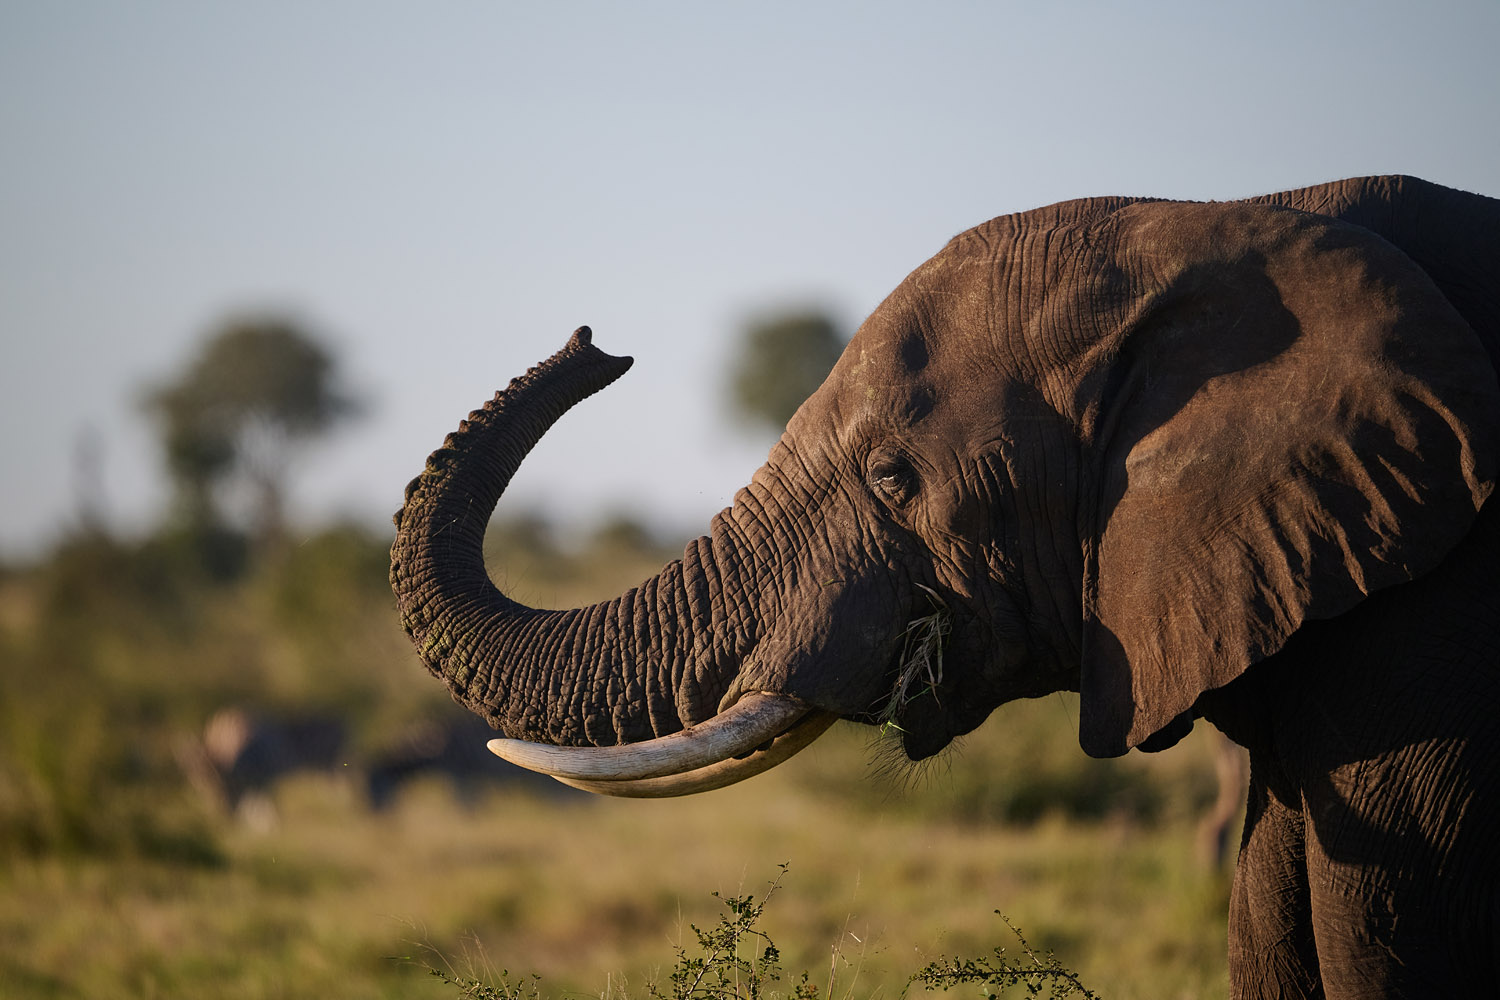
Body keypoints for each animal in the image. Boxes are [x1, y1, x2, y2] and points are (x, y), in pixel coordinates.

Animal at [390, 175, 1500, 998]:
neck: (1233, 220)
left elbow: (1369, 935)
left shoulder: (1428, 629)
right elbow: (1268, 922)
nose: (596, 343)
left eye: (893, 479)